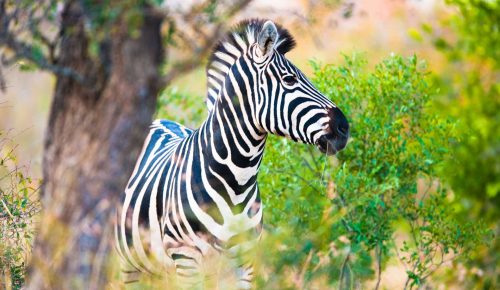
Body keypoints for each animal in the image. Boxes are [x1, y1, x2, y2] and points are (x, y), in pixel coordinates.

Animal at [115, 19, 350, 288]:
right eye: (289, 79)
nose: (344, 128)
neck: (237, 179)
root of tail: (157, 121)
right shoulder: (186, 258)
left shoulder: (244, 261)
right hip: (131, 265)